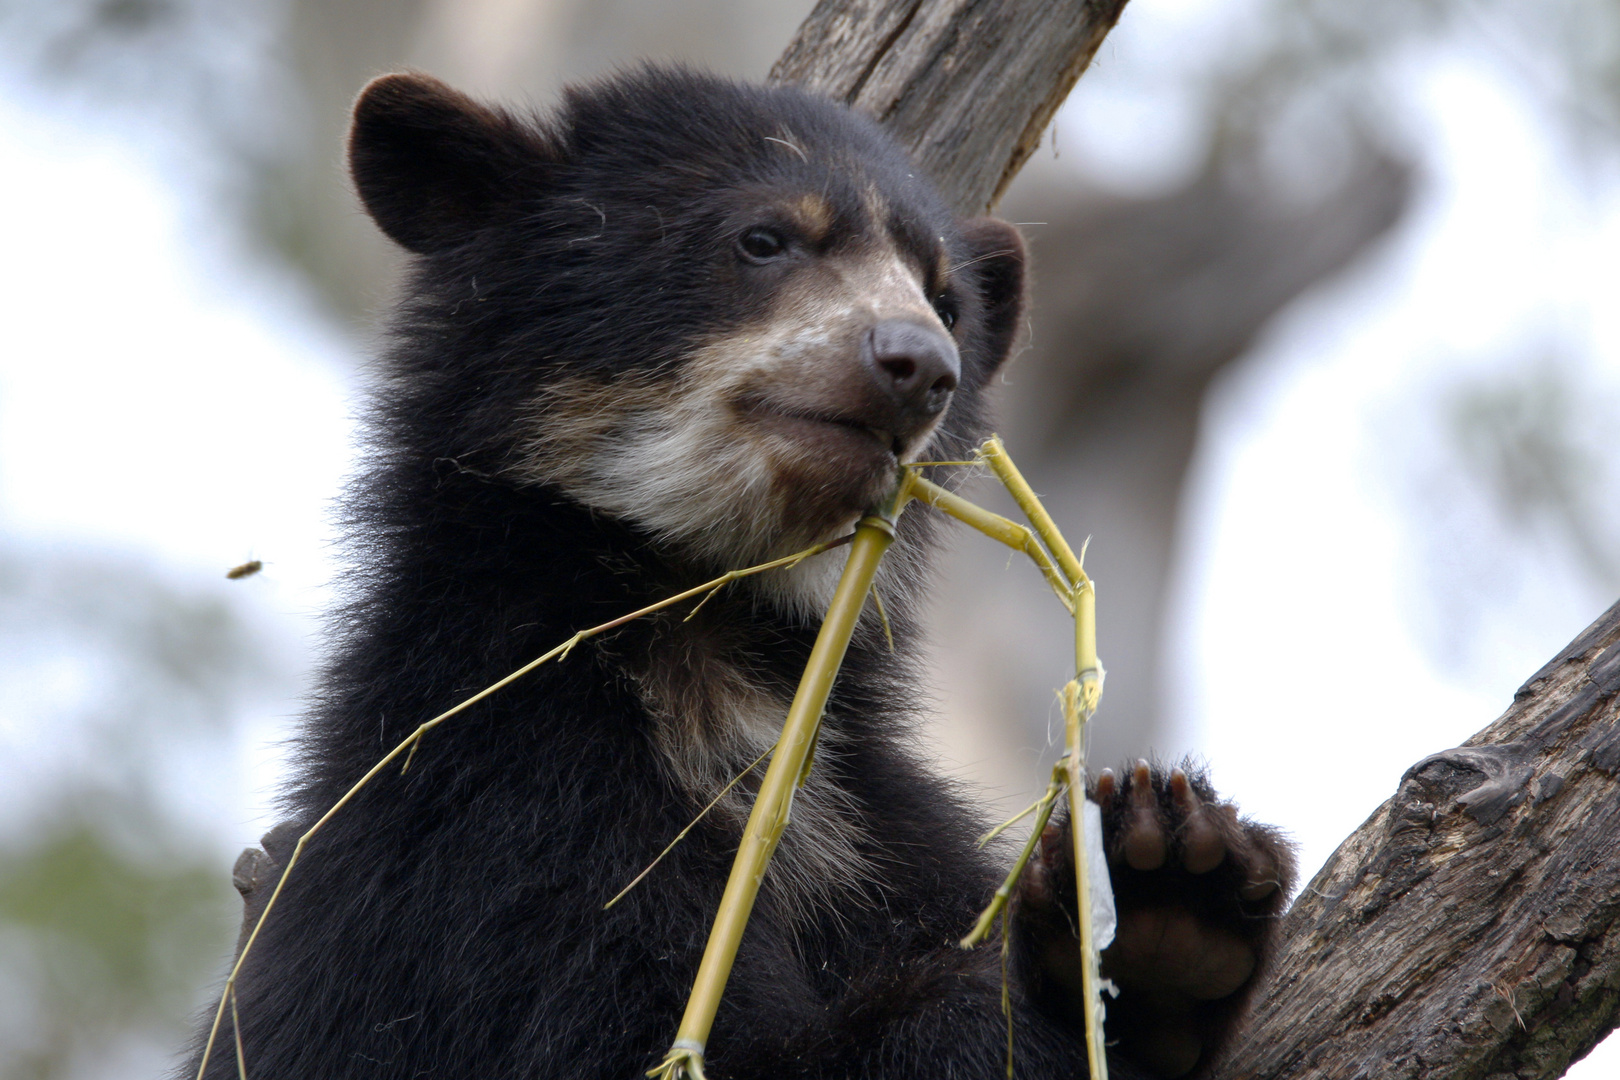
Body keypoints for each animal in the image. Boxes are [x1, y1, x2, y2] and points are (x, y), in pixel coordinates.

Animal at [189, 67, 1296, 1080]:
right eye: (764, 240)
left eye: (946, 298)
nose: (918, 366)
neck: (715, 646)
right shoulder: (494, 805)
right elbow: (650, 1032)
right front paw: (1130, 926)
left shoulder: (872, 818)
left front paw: (1178, 895)